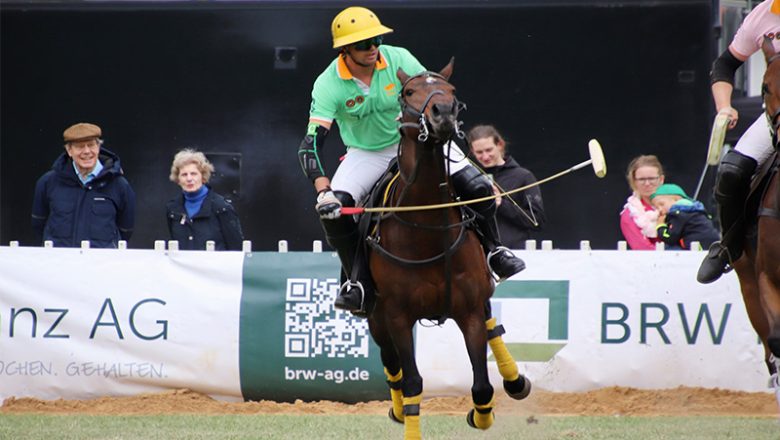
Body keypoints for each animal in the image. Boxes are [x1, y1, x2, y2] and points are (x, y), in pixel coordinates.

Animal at [366, 59, 532, 440]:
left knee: (492, 326)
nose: (443, 113)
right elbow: (412, 382)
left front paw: (481, 415)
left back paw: (516, 381)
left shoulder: (468, 308)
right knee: (390, 361)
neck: (428, 225)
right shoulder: (396, 315)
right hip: (374, 315)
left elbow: (482, 384)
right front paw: (405, 411)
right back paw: (396, 407)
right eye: (409, 91)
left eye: (451, 90)